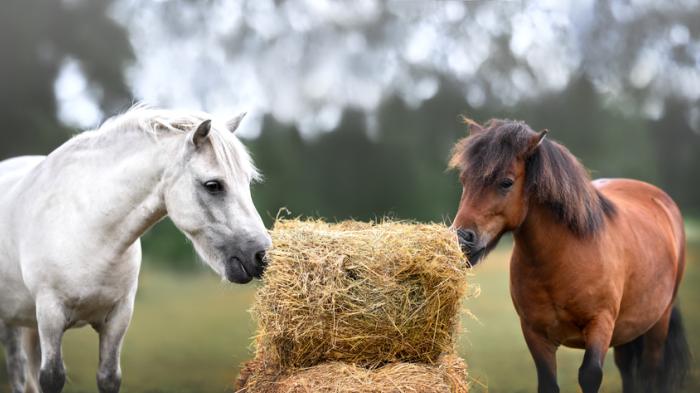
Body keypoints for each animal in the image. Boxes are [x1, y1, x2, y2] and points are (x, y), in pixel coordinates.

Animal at [0, 105, 270, 390]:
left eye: (247, 181)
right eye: (213, 185)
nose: (261, 255)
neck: (89, 229)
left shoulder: (118, 318)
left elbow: (109, 378)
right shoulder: (50, 316)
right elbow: (51, 378)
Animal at [448, 118, 688, 392]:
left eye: (506, 182)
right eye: (464, 179)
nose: (461, 238)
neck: (561, 259)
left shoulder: (600, 325)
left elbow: (589, 375)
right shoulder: (535, 334)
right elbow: (548, 383)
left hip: (657, 326)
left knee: (649, 372)